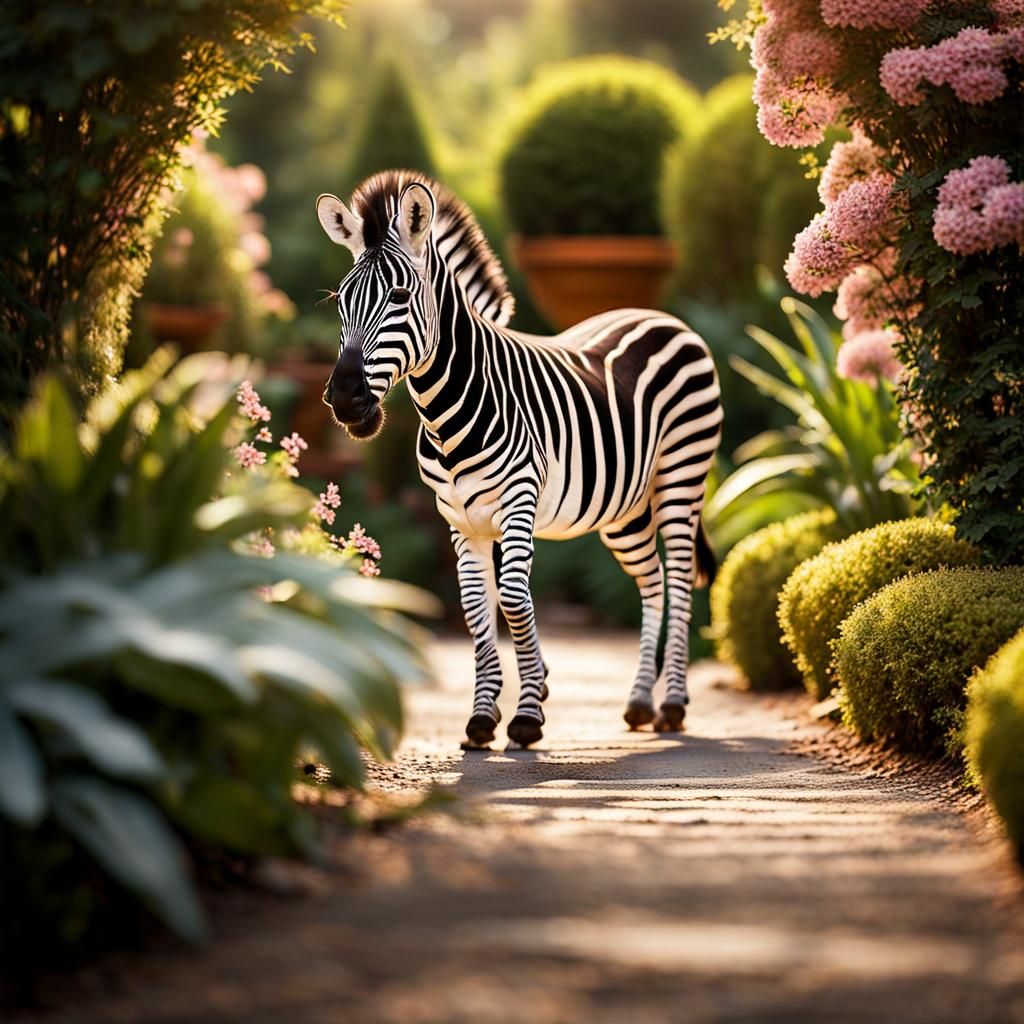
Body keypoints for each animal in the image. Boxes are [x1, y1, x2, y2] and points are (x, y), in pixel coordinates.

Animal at [316, 170, 722, 750]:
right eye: (339, 301)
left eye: (399, 294)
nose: (345, 397)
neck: (448, 411)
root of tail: (661, 316)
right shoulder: (460, 520)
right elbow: (478, 613)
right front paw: (483, 717)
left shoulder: (518, 503)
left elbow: (512, 601)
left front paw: (528, 713)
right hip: (624, 509)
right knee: (653, 581)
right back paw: (641, 702)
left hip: (680, 480)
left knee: (683, 580)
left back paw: (672, 705)